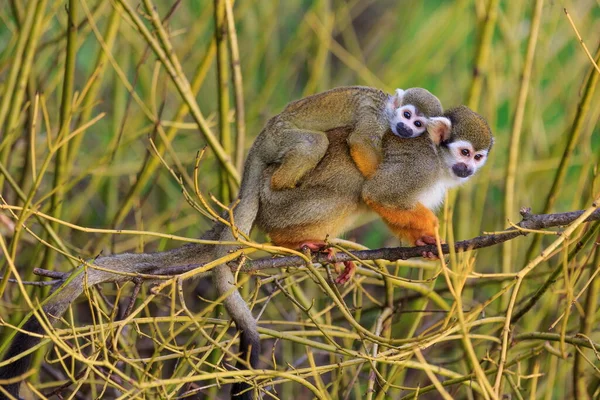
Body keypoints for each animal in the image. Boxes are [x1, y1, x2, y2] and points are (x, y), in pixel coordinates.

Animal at [264, 86, 442, 189]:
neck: (387, 109)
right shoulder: (374, 114)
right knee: (315, 142)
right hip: (279, 135)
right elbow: (360, 141)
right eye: (407, 115)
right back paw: (280, 182)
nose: (406, 128)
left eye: (418, 124)